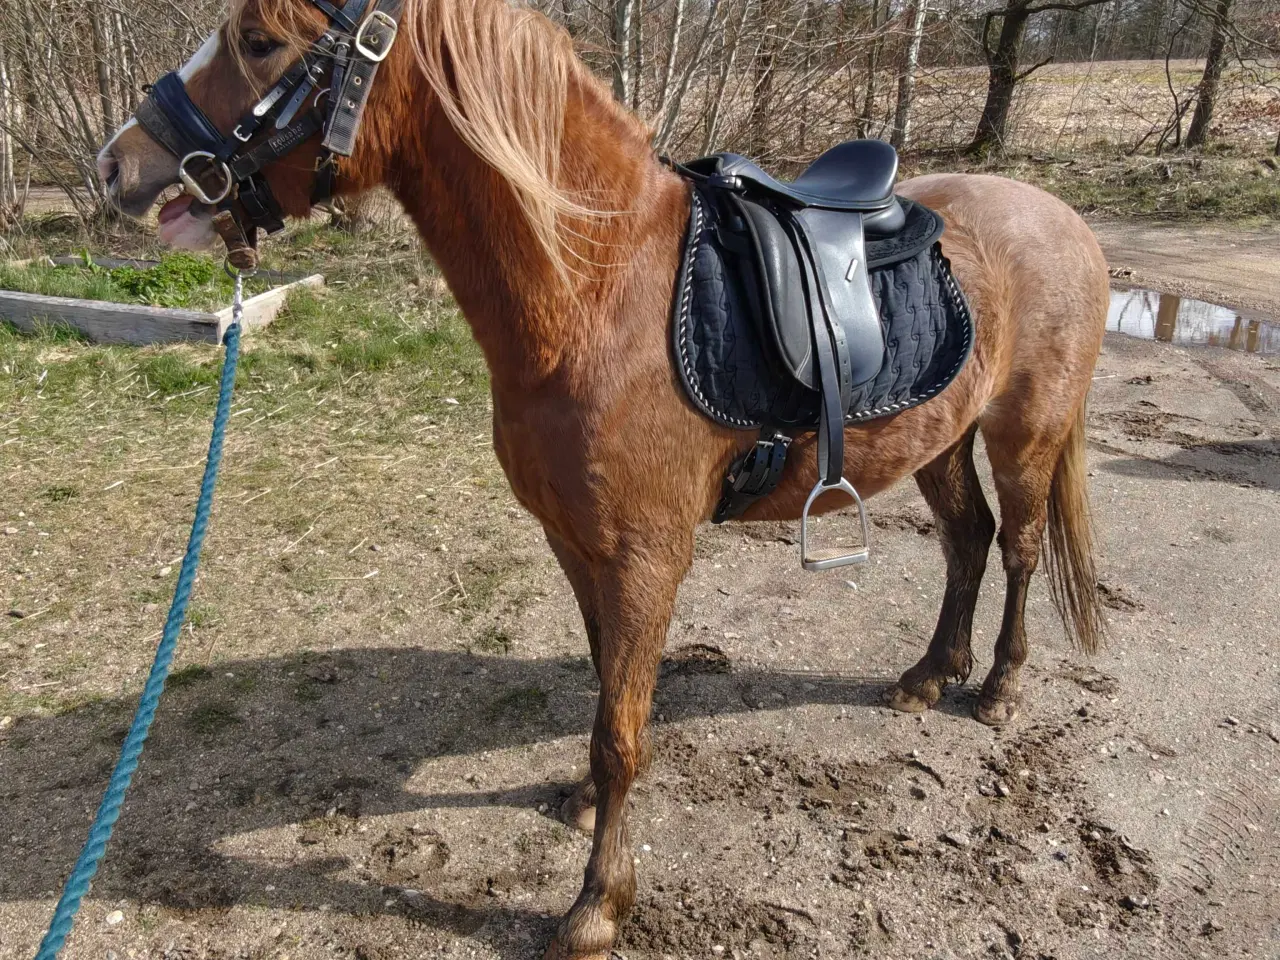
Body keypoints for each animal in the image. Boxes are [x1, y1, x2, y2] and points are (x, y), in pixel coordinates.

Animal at [96, 0, 1109, 954]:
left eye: (261, 40)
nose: (116, 166)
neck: (597, 290)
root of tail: (1062, 218)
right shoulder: (578, 546)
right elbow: (602, 694)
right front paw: (582, 803)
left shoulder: (644, 559)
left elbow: (624, 735)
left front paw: (597, 906)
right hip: (941, 443)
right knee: (968, 543)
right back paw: (930, 675)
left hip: (1022, 438)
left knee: (1018, 550)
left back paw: (998, 690)